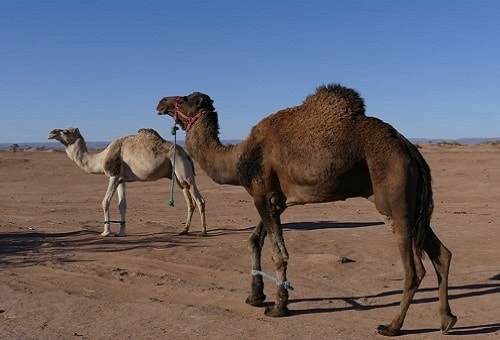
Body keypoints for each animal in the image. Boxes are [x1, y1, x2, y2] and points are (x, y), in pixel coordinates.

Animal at [48, 127, 207, 236]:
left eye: (66, 132)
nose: (51, 132)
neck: (101, 158)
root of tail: (187, 155)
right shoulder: (121, 180)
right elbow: (122, 205)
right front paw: (121, 232)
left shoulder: (113, 175)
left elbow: (105, 201)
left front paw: (106, 232)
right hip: (178, 176)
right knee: (190, 200)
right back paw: (184, 230)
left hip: (181, 167)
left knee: (199, 199)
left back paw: (203, 232)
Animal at [156, 83, 458, 336]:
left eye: (185, 97)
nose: (161, 102)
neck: (238, 157)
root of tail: (412, 151)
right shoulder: (277, 201)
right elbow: (254, 240)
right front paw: (255, 296)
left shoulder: (262, 195)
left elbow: (278, 254)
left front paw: (278, 307)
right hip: (412, 206)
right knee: (442, 253)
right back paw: (447, 320)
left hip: (394, 199)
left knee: (414, 269)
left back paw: (392, 326)